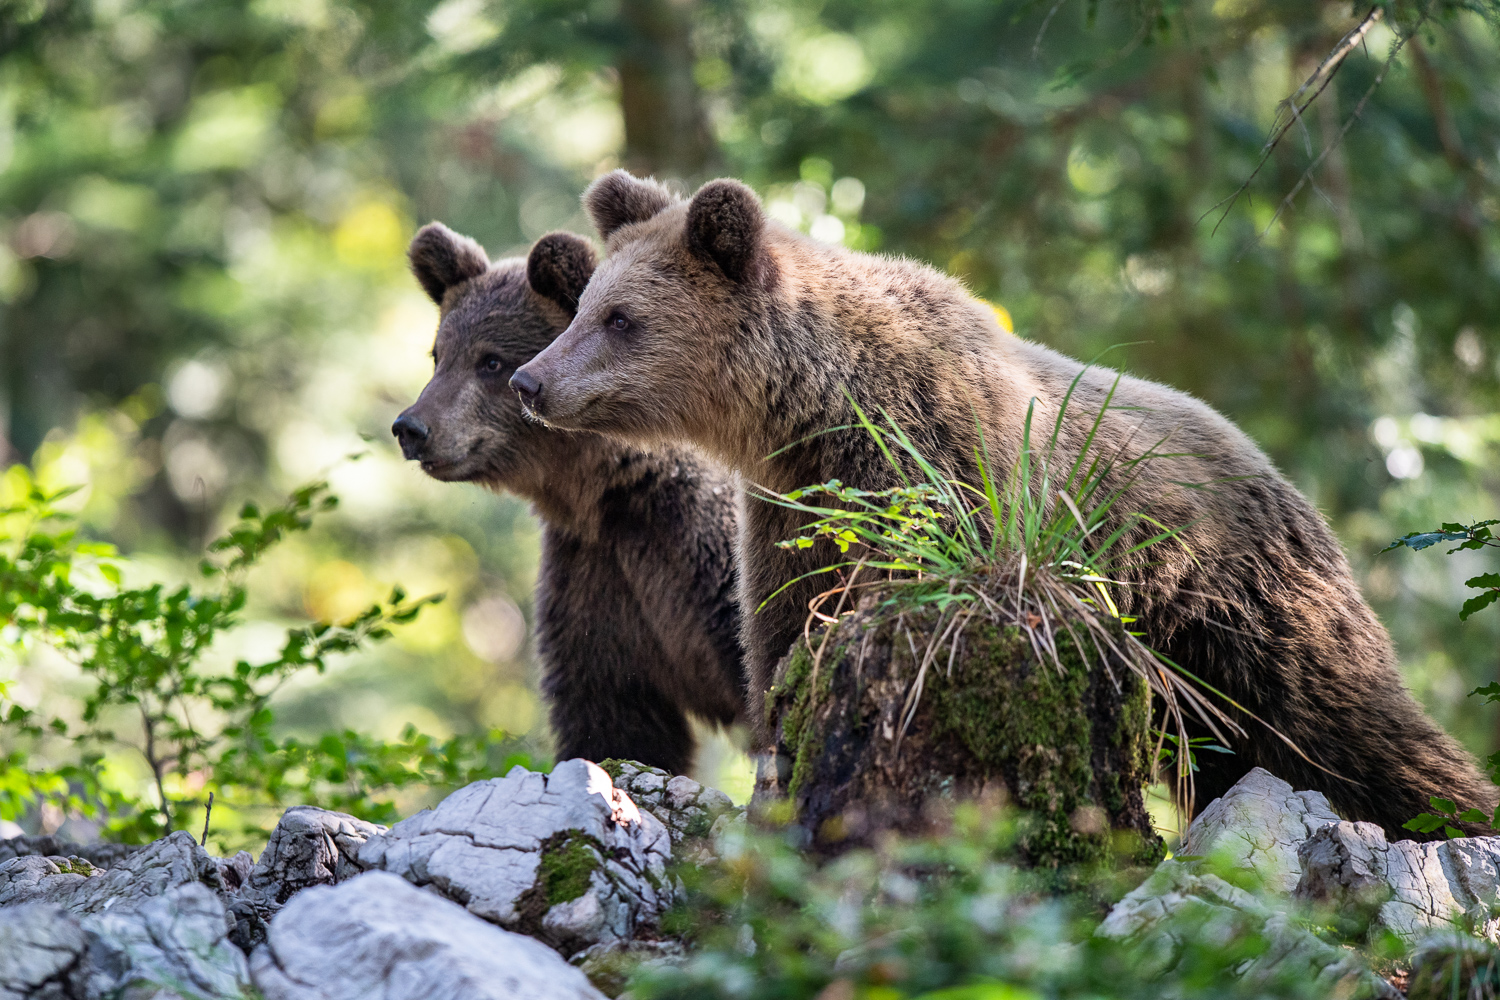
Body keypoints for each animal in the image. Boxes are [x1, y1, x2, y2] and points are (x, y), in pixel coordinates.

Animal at [393, 223, 744, 779]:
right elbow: (614, 721)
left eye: (490, 360)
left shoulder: (703, 551)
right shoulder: (598, 582)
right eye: (437, 354)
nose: (411, 427)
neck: (604, 493)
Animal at [510, 170, 1494, 839]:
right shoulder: (797, 513)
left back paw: (1452, 819)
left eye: (620, 319)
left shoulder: (947, 467)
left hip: (1242, 607)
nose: (530, 381)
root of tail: (1280, 475)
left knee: (1349, 729)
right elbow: (788, 642)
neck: (821, 411)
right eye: (584, 305)